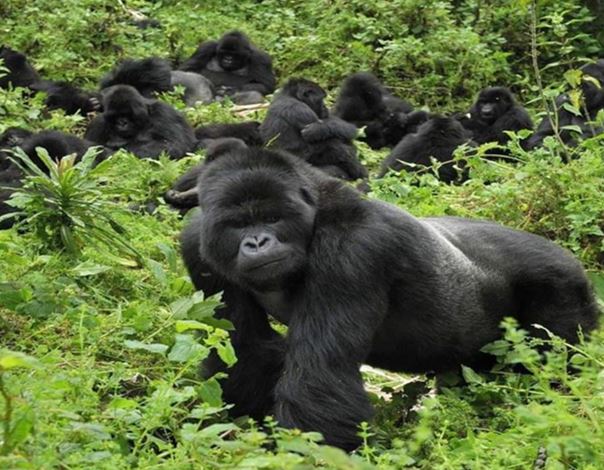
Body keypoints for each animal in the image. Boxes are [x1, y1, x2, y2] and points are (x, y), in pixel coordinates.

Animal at [178, 140, 596, 452]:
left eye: (273, 217)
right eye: (238, 224)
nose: (257, 242)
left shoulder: (351, 250)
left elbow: (318, 379)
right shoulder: (199, 245)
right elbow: (245, 352)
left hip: (563, 284)